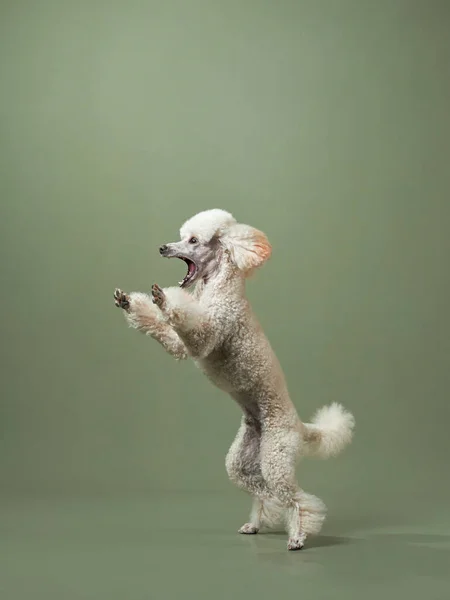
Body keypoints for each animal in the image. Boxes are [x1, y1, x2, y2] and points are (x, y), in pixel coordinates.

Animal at [115, 209, 356, 552]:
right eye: (182, 236)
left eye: (193, 241)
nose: (163, 247)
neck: (216, 288)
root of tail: (299, 425)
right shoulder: (180, 343)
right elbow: (167, 333)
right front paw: (130, 303)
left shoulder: (209, 333)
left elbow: (191, 326)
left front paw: (164, 299)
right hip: (244, 458)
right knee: (262, 490)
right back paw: (257, 522)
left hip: (276, 455)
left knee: (297, 499)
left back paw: (297, 536)